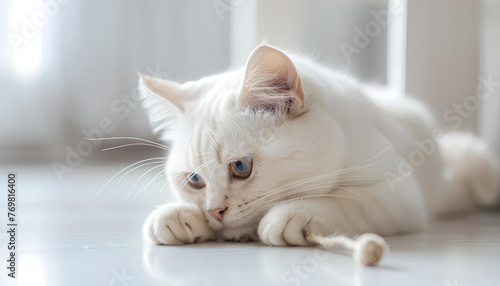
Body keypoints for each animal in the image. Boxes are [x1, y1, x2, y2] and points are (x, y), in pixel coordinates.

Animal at [138, 44, 500, 246]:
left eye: (240, 167)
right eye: (194, 180)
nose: (214, 211)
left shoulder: (398, 195)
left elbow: (343, 201)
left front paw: (293, 216)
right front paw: (177, 216)